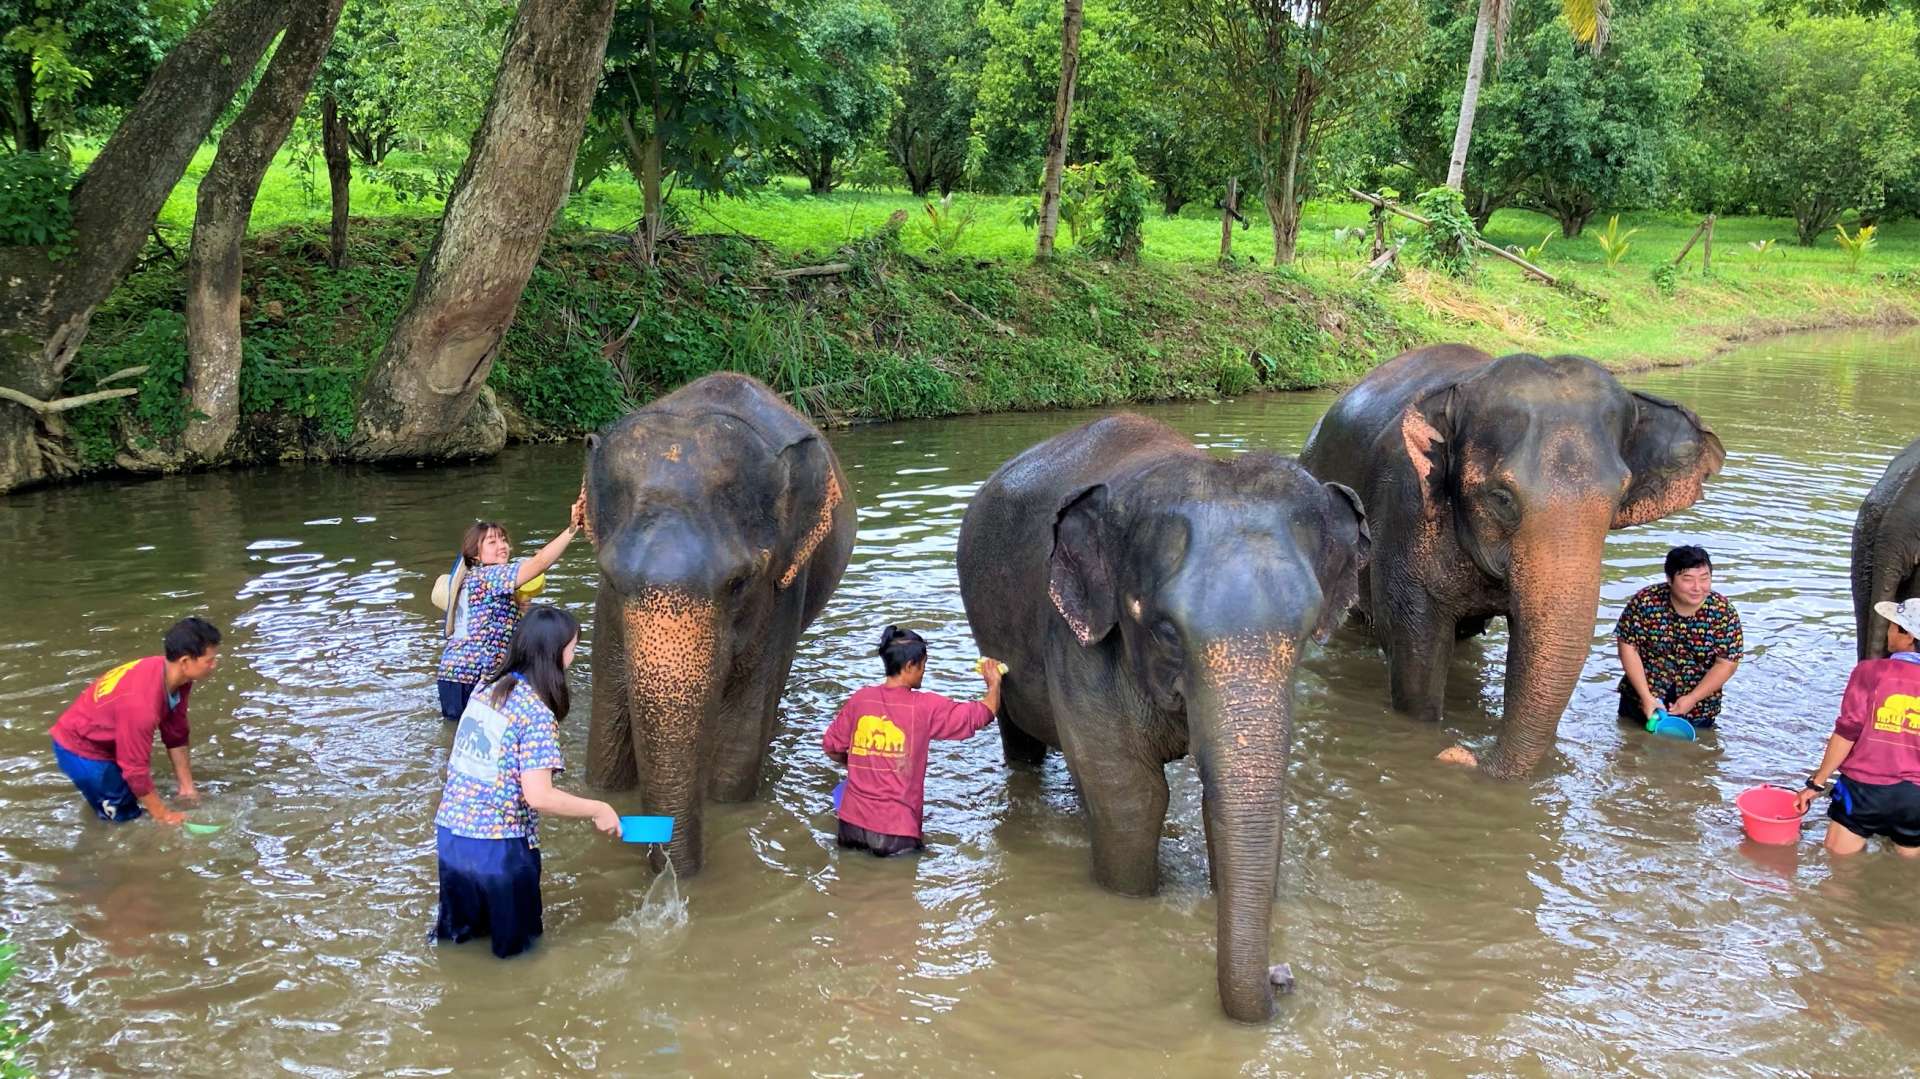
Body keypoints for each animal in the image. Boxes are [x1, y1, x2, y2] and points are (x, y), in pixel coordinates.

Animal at [579, 372, 860, 875]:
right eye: (610, 576)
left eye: (739, 582)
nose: (673, 879)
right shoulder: (607, 609)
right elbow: (607, 721)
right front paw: (603, 790)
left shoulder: (783, 586)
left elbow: (740, 736)